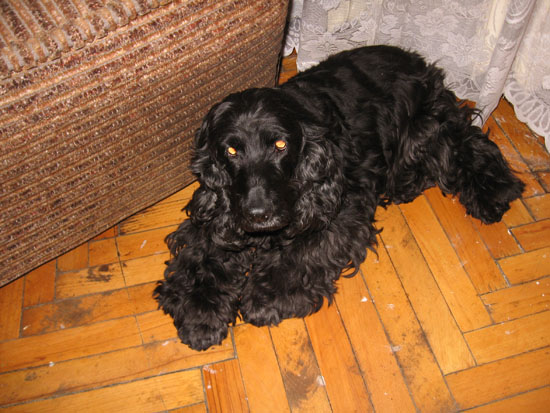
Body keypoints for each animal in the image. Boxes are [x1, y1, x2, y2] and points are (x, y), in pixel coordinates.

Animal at [154, 45, 525, 351]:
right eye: (230, 150)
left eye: (280, 145)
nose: (258, 214)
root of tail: (417, 60)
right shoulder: (215, 211)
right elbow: (203, 254)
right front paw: (200, 311)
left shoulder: (341, 206)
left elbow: (304, 250)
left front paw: (267, 295)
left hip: (428, 126)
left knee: (468, 143)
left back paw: (493, 192)